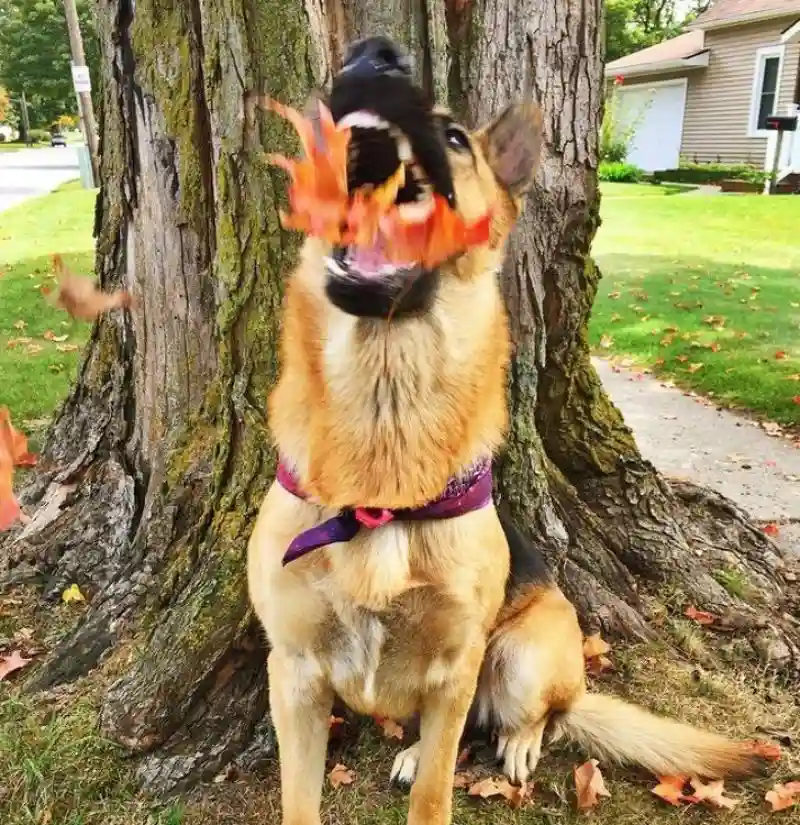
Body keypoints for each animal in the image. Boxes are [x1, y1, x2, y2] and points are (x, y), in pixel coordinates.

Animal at [250, 35, 764, 824]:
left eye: (457, 137)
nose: (377, 55)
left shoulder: (456, 663)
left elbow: (435, 793)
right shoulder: (296, 679)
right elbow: (301, 800)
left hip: (523, 653)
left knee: (532, 716)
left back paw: (516, 743)